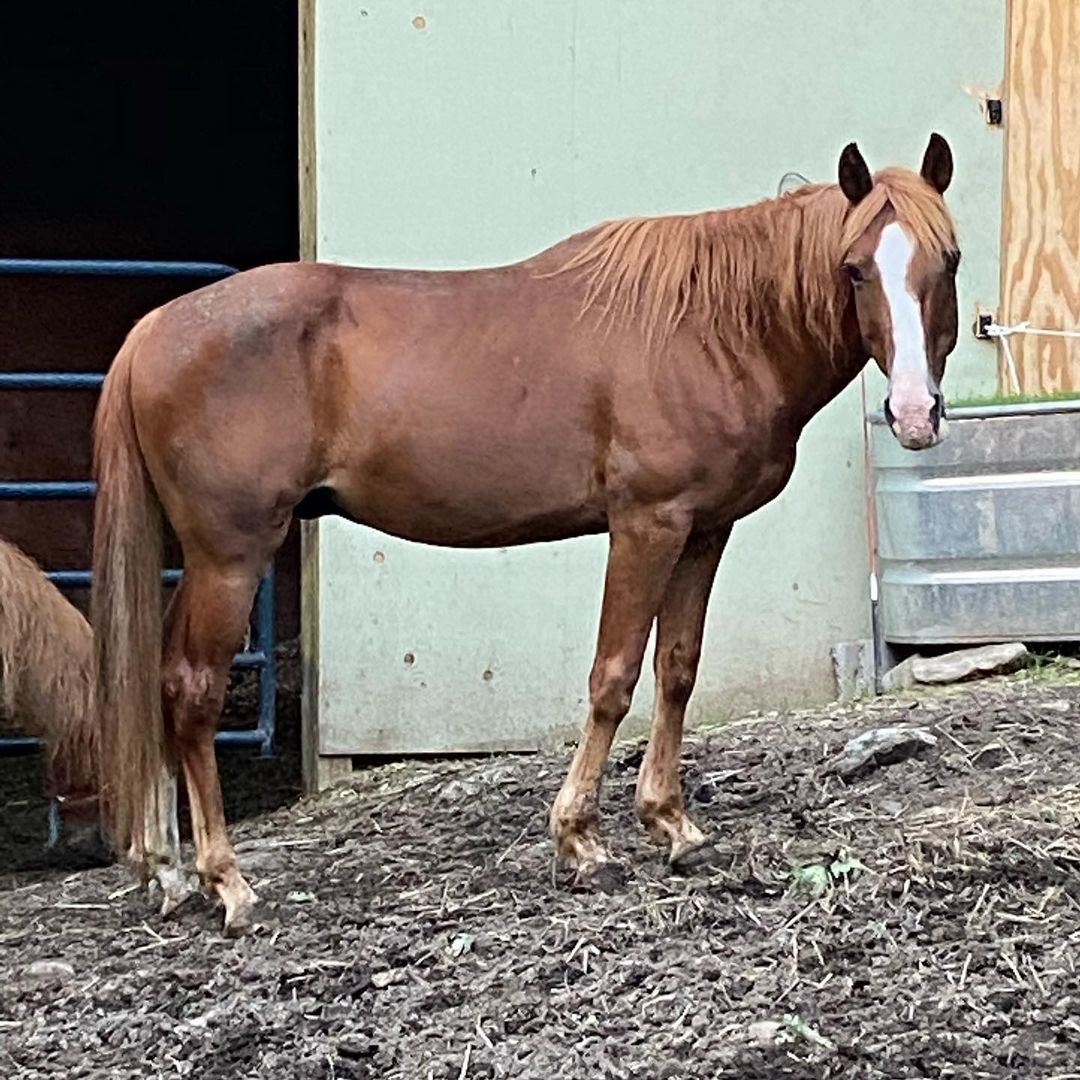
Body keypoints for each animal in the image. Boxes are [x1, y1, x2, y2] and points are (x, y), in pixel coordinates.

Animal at [90, 132, 954, 928]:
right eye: (855, 268)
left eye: (946, 260)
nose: (914, 414)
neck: (711, 326)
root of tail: (152, 331)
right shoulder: (646, 525)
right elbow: (613, 677)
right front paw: (582, 842)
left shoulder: (706, 530)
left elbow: (676, 668)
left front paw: (673, 827)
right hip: (231, 556)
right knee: (192, 690)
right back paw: (226, 882)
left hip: (202, 560)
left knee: (158, 676)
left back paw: (167, 869)